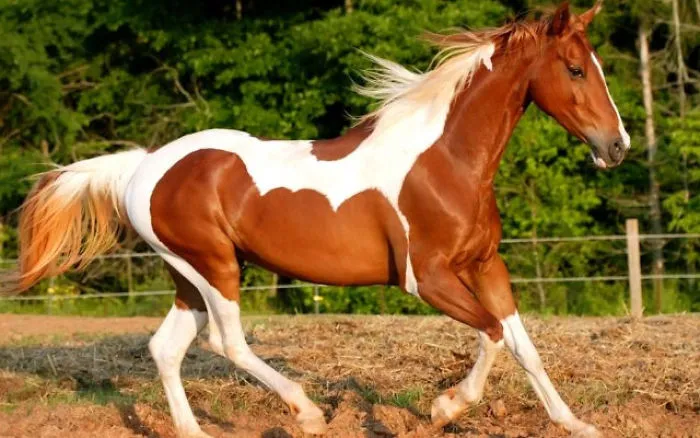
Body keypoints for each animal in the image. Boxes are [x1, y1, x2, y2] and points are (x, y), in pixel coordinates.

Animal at [4, 1, 629, 436]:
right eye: (575, 69)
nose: (616, 146)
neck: (445, 161)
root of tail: (144, 165)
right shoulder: (426, 278)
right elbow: (493, 334)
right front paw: (444, 407)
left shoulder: (485, 265)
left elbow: (522, 344)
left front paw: (576, 423)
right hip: (215, 267)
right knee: (226, 342)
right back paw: (306, 413)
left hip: (187, 274)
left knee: (167, 348)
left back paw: (194, 429)